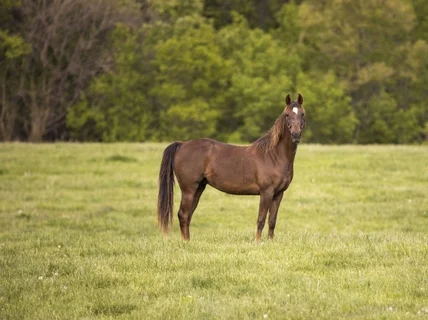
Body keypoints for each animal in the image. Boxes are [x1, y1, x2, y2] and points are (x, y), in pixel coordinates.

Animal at [156, 94, 304, 241]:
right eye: (287, 115)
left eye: (302, 114)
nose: (296, 134)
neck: (273, 155)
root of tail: (182, 144)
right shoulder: (266, 192)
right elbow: (261, 219)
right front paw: (257, 242)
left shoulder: (278, 194)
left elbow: (272, 220)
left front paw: (270, 241)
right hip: (188, 189)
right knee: (183, 214)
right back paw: (186, 242)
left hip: (198, 188)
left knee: (188, 215)